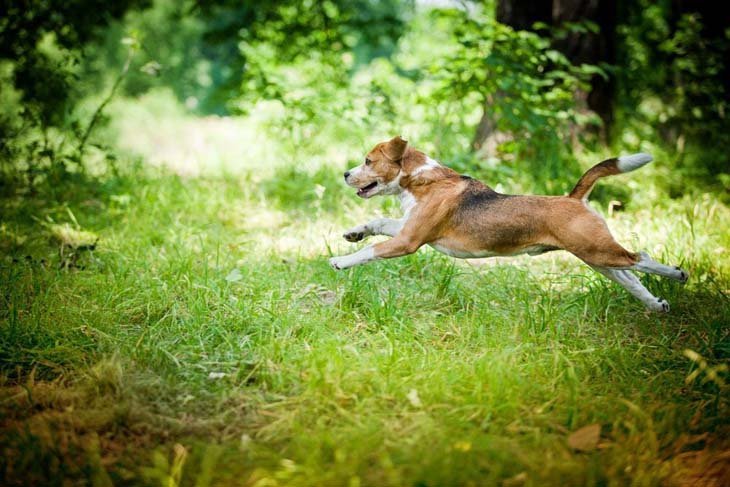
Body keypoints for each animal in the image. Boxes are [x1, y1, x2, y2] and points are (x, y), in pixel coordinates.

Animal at [328, 135, 684, 310]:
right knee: (631, 278)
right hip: (596, 257)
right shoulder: (408, 228)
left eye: (368, 161)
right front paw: (354, 233)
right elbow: (377, 221)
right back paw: (656, 305)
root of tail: (573, 198)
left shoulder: (408, 241)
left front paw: (341, 260)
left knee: (641, 258)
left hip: (598, 251)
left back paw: (678, 274)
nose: (344, 174)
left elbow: (371, 252)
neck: (424, 180)